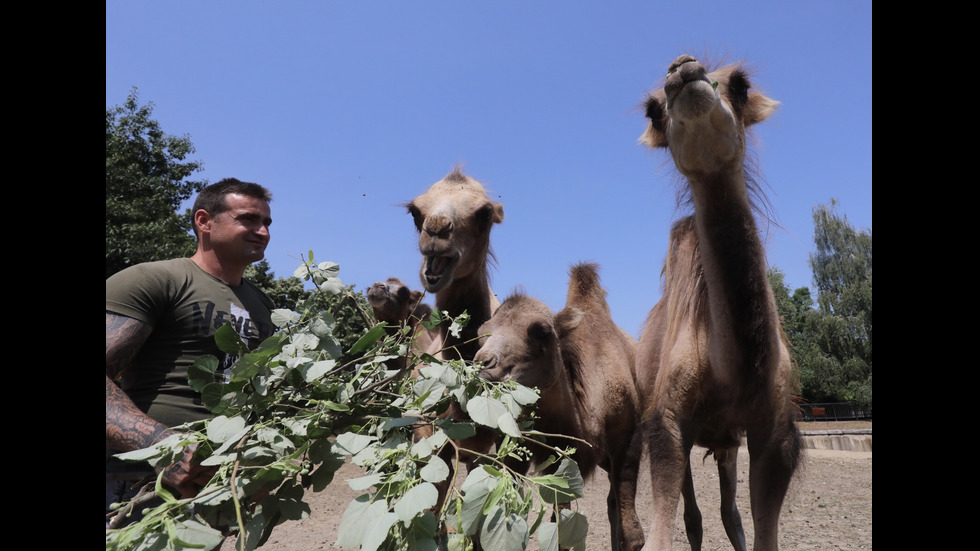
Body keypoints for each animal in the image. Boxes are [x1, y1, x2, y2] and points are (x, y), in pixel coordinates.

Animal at [472, 264, 644, 551]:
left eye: (541, 331)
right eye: (481, 332)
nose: (484, 364)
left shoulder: (627, 439)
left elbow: (632, 535)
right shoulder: (540, 453)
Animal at [636, 55, 804, 551]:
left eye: (742, 84)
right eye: (652, 111)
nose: (683, 71)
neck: (736, 371)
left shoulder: (775, 433)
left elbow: (761, 530)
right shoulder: (667, 422)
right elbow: (667, 530)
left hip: (727, 438)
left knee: (730, 512)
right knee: (694, 515)